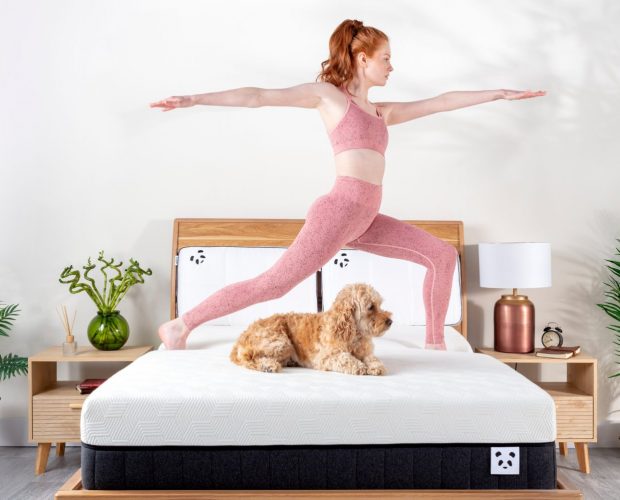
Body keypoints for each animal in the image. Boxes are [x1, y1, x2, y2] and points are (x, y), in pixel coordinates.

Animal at [228, 286, 392, 376]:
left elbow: (373, 359)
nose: (390, 321)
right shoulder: (325, 358)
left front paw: (376, 366)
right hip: (281, 342)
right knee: (249, 358)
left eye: (379, 304)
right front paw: (360, 367)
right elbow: (345, 359)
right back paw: (268, 366)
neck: (353, 333)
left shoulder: (365, 352)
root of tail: (242, 336)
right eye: (371, 307)